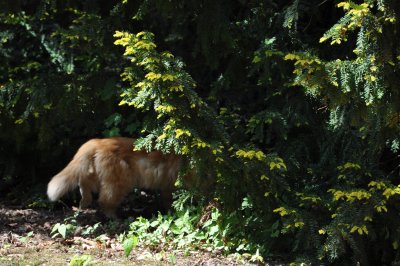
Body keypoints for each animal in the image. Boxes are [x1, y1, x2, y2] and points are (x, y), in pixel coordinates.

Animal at [47, 137, 184, 218]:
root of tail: (98, 141)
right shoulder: (172, 185)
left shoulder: (167, 186)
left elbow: (169, 201)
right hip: (119, 182)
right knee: (104, 201)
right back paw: (115, 218)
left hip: (96, 178)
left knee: (84, 190)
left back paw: (82, 207)